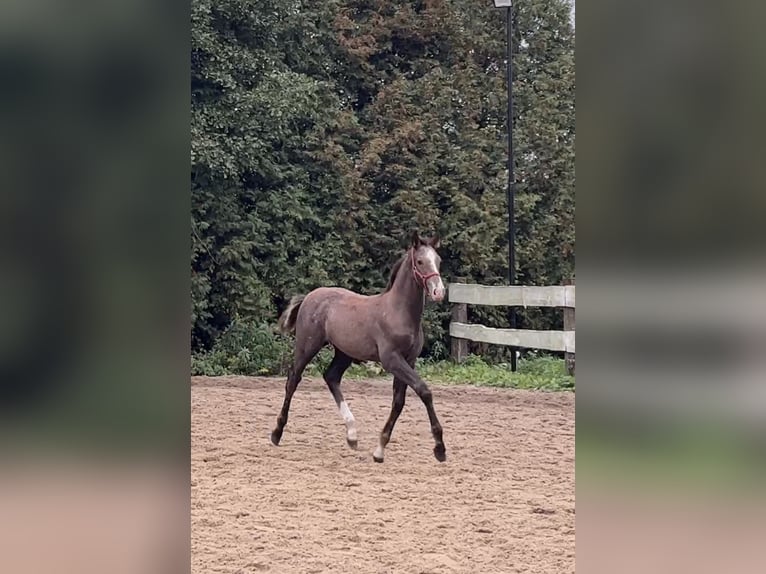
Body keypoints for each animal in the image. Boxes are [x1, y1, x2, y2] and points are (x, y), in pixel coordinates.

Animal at [272, 233, 448, 464]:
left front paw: (379, 450)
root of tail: (309, 296)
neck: (398, 312)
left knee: (331, 377)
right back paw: (277, 433)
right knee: (293, 380)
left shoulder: (408, 360)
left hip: (344, 352)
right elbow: (424, 391)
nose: (438, 292)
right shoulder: (392, 360)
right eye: (420, 262)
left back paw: (352, 435)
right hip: (307, 346)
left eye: (438, 261)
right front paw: (440, 448)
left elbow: (398, 402)